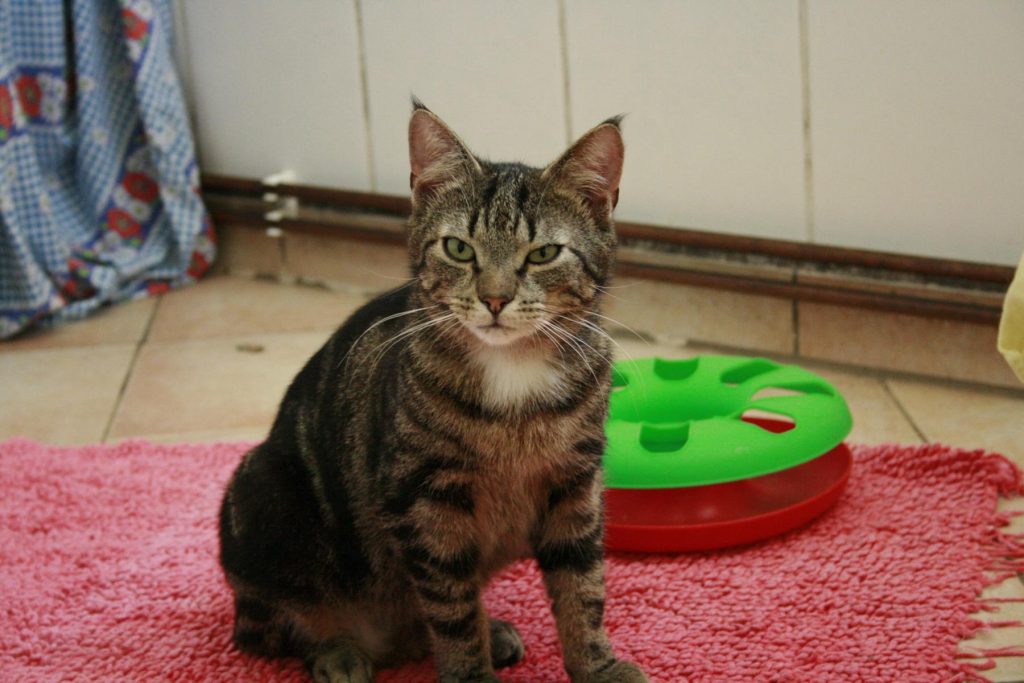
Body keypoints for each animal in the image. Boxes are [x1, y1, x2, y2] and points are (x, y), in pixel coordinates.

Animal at [218, 101, 647, 683]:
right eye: (458, 248)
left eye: (544, 254)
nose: (494, 299)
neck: (513, 373)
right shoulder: (427, 500)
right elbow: (451, 608)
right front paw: (472, 674)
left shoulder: (574, 487)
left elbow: (582, 590)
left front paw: (597, 666)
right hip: (263, 495)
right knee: (272, 626)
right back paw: (338, 651)